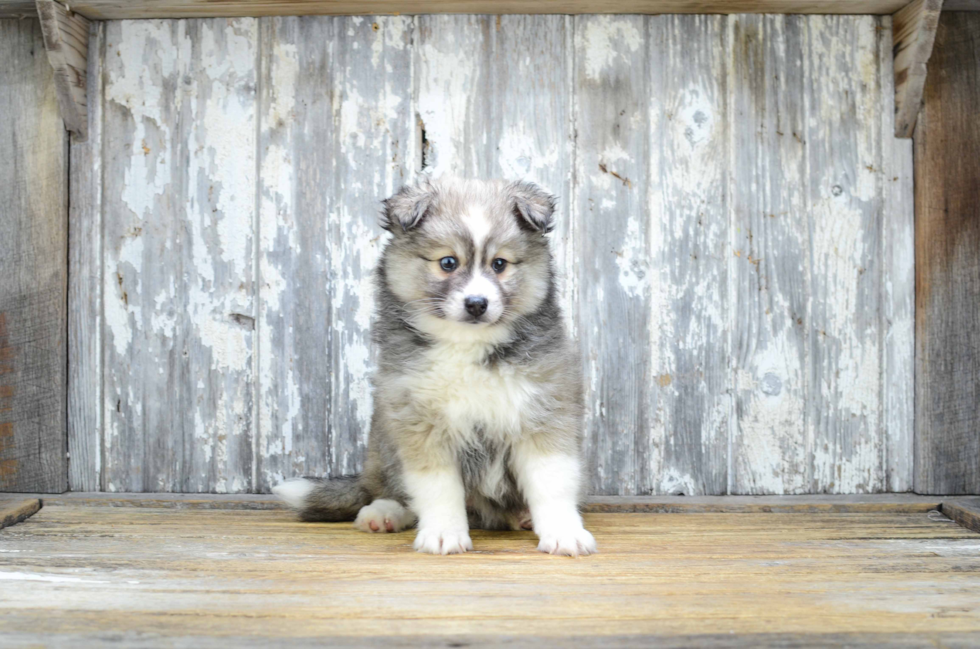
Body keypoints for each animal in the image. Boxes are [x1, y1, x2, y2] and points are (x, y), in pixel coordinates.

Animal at [276, 177, 596, 556]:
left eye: (499, 264)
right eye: (448, 262)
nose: (477, 304)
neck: (466, 345)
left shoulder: (543, 414)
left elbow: (552, 483)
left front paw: (564, 533)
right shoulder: (421, 423)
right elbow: (437, 488)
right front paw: (444, 534)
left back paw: (522, 516)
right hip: (384, 443)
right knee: (390, 491)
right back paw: (383, 513)